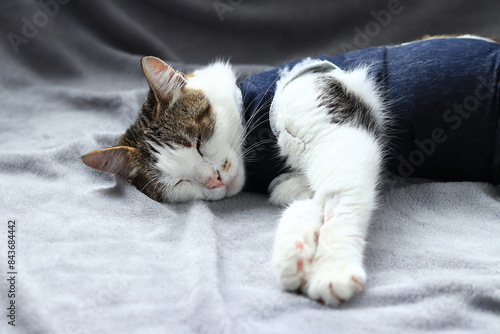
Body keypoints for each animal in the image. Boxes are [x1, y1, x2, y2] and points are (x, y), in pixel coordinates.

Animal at [82, 35, 500, 306]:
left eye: (198, 141)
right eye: (178, 182)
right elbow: (311, 198)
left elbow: (341, 199)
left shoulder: (335, 127)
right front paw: (294, 248)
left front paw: (331, 267)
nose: (214, 179)